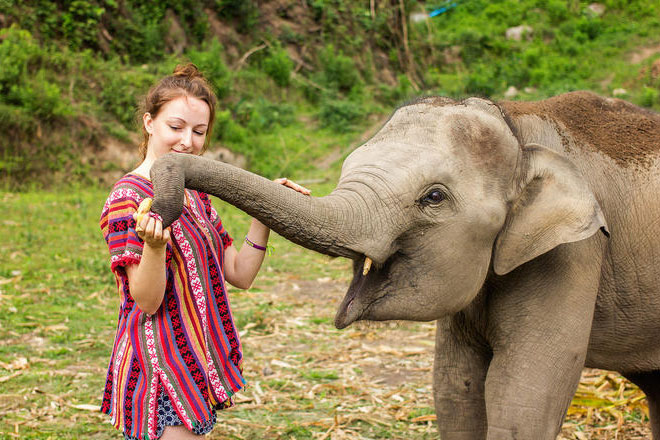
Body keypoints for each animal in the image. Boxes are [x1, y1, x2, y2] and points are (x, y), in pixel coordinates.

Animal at [151, 91, 660, 438]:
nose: (163, 205)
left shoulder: (573, 253)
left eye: (433, 197)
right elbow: (456, 388)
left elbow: (523, 391)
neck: (518, 125)